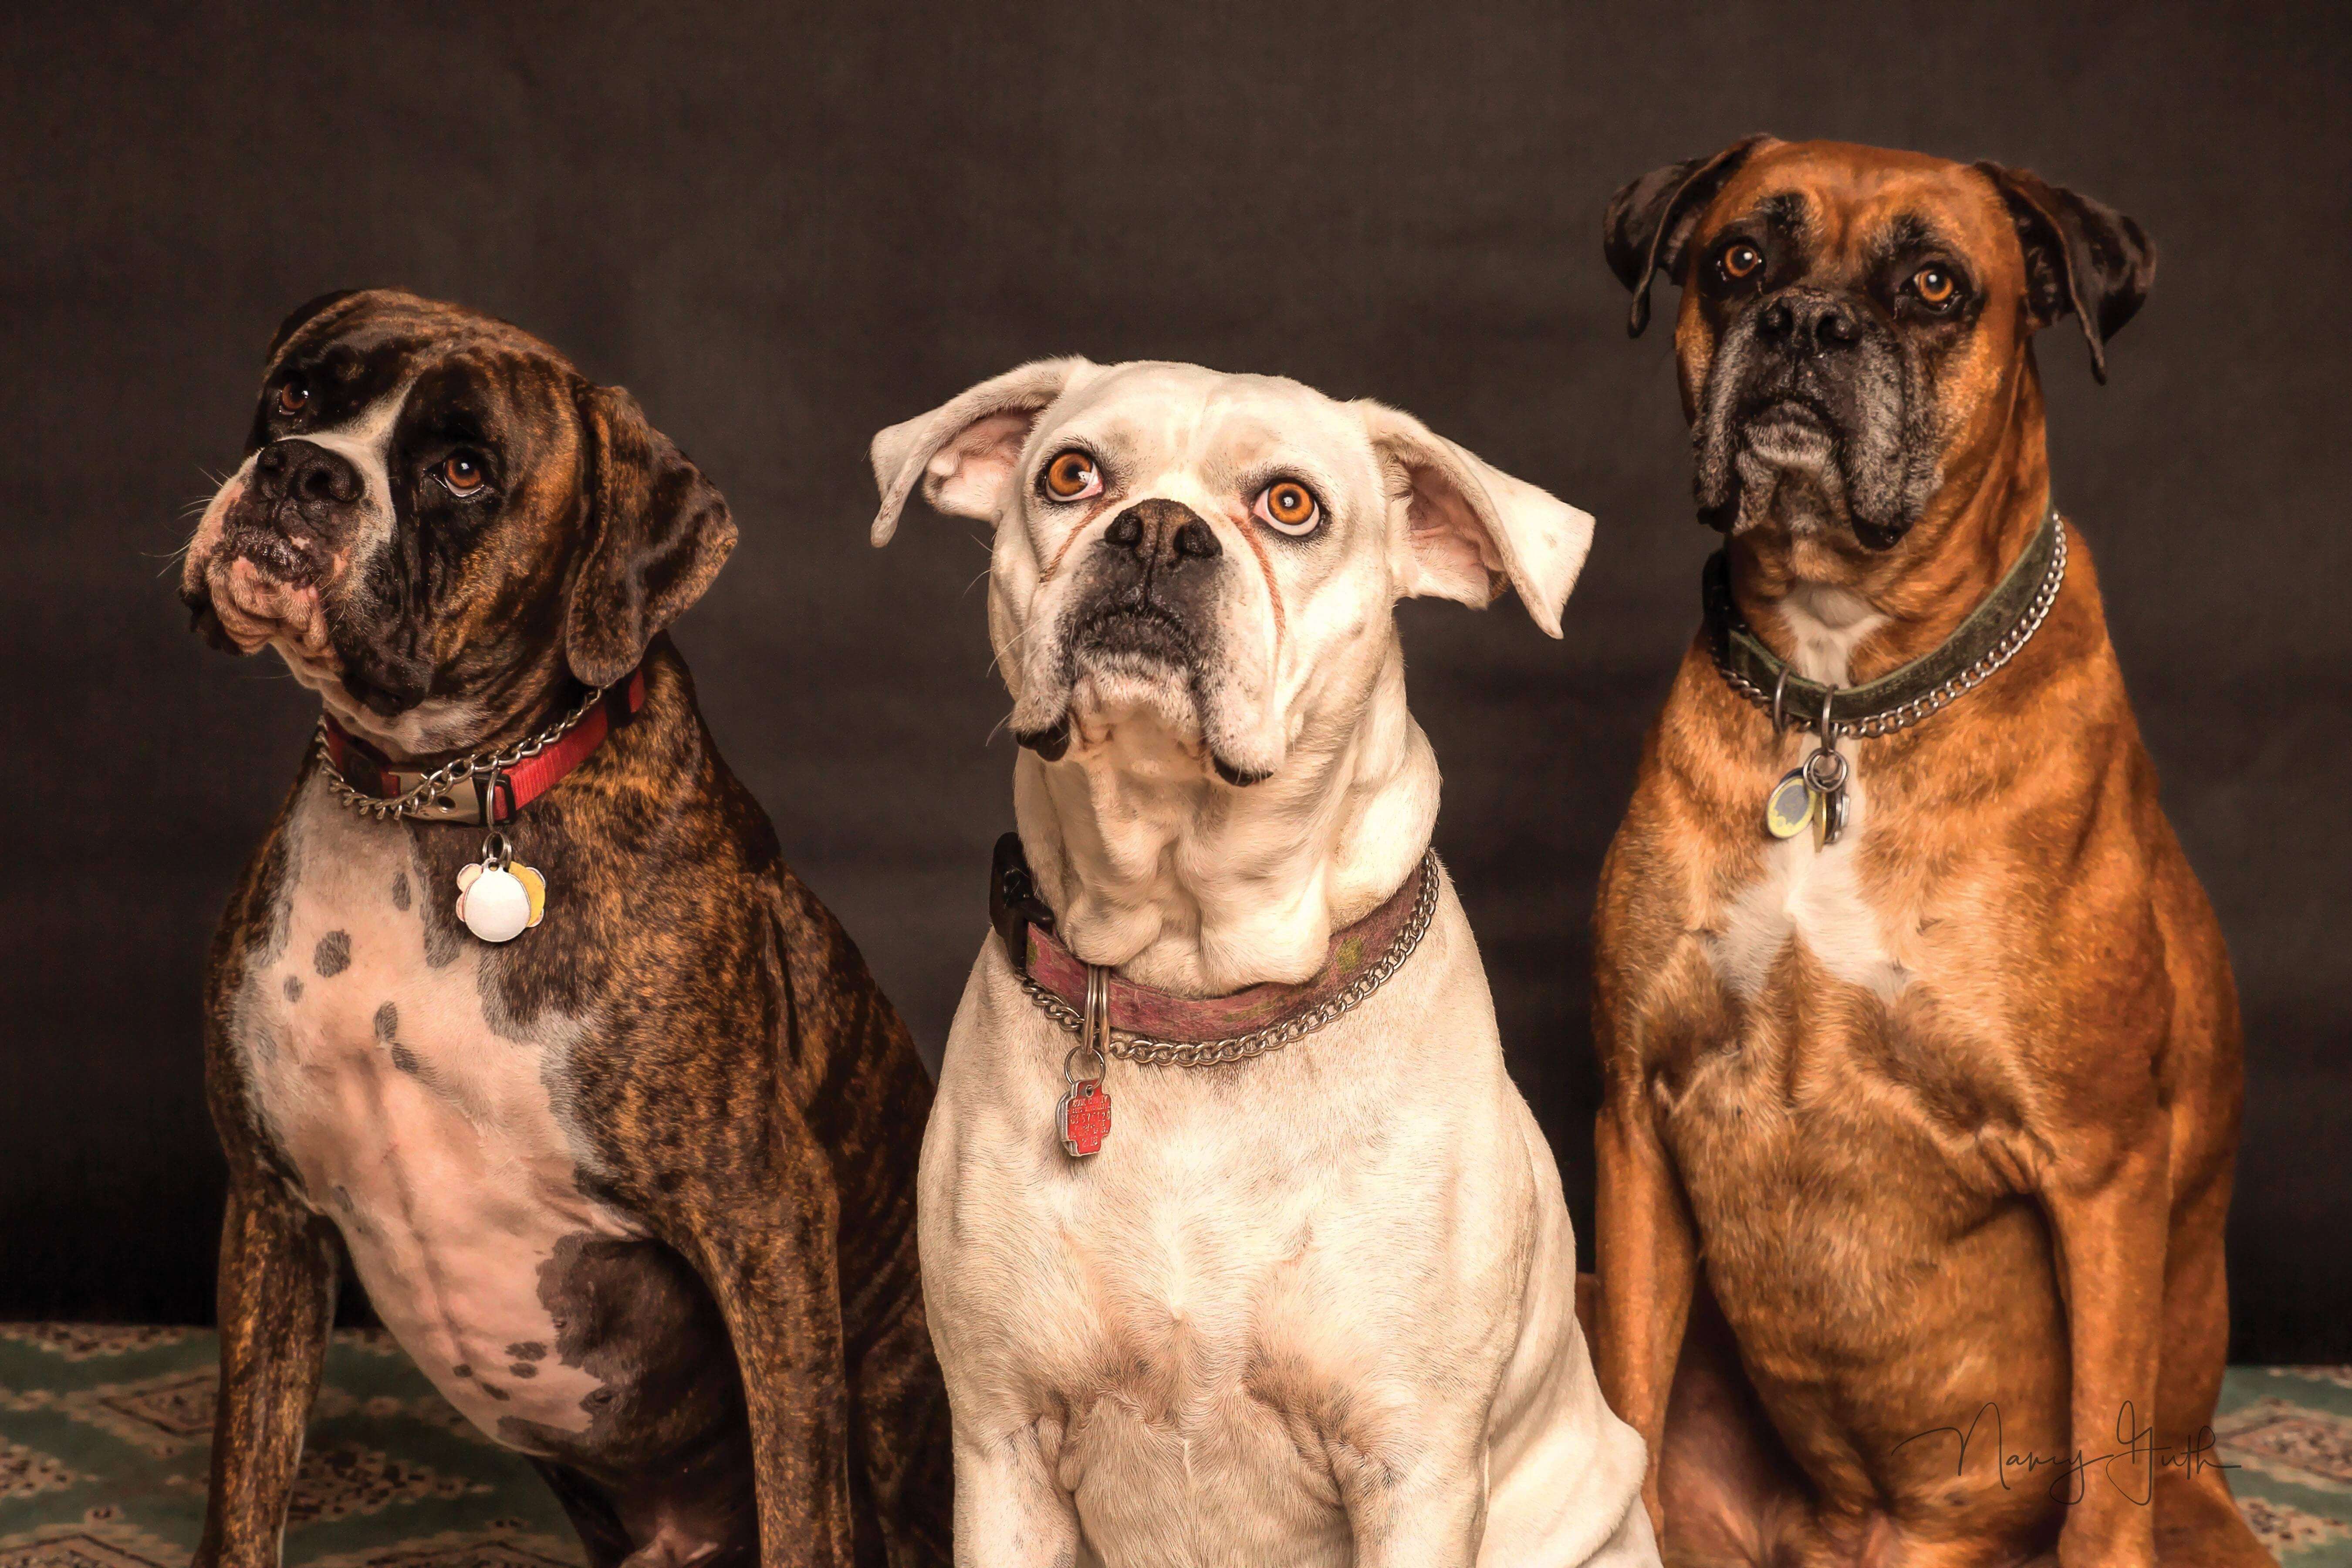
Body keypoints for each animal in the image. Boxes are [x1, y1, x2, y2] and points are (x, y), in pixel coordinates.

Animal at [181, 291, 955, 1568]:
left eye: (462, 469)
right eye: (295, 395)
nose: (301, 473)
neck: (433, 796)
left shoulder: (764, 1222)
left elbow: (804, 1505)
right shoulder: (271, 1217)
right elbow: (244, 1499)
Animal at [865, 362, 1656, 1561]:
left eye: (1291, 506)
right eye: (1070, 475)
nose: (1156, 529)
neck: (1192, 984)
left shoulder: (1413, 1468)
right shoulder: (1002, 1447)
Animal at [1590, 138, 2267, 1568]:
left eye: (1934, 285)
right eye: (1740, 259)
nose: (1804, 323)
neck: (1843, 693)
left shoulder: (2101, 1168)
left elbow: (2102, 1487)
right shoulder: (1634, 1118)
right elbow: (1618, 1400)